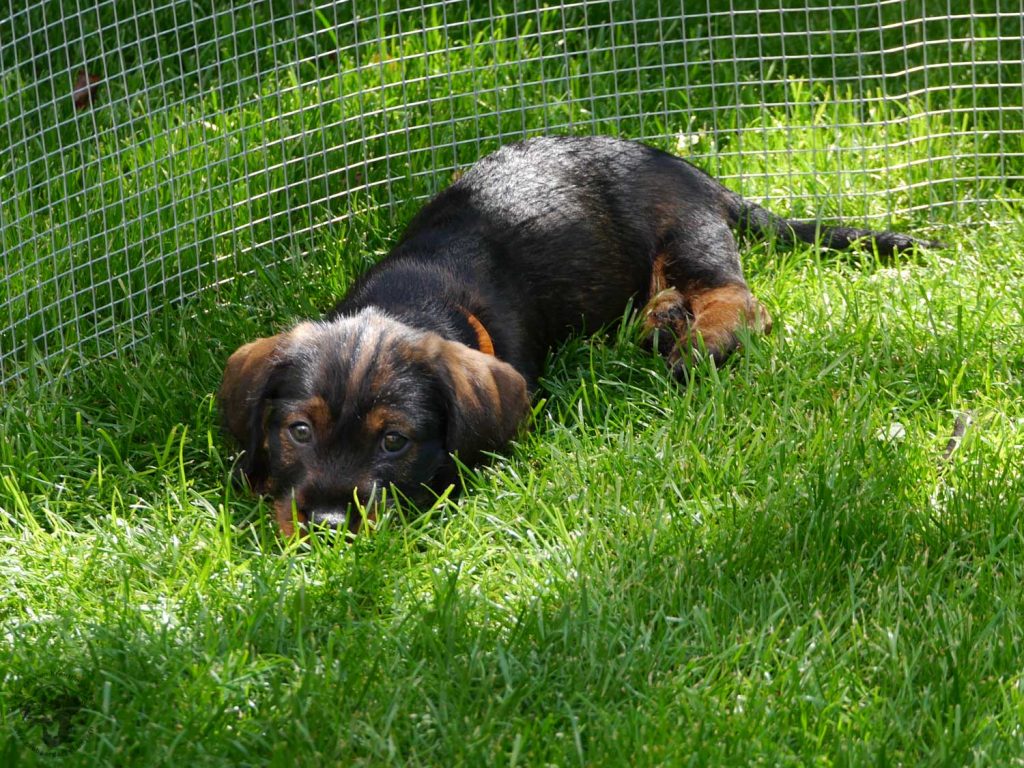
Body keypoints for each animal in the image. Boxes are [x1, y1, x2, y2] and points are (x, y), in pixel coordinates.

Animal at [220, 135, 937, 536]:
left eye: (395, 442)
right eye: (297, 431)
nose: (328, 527)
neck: (414, 295)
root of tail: (694, 172)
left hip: (686, 233)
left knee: (741, 300)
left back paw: (696, 344)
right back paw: (662, 321)